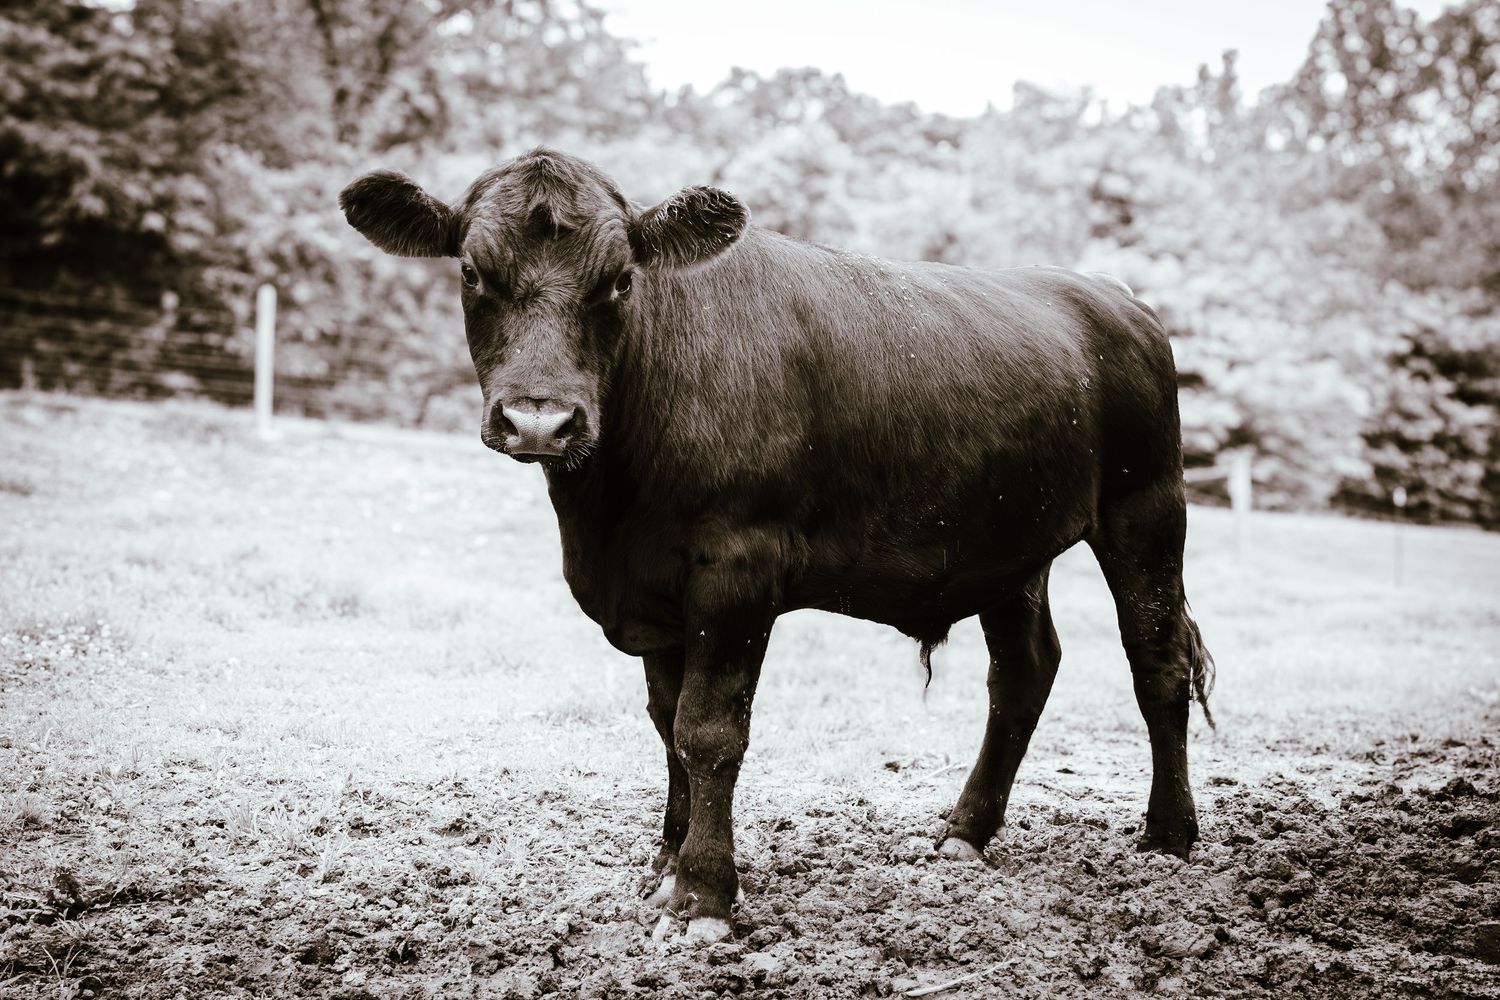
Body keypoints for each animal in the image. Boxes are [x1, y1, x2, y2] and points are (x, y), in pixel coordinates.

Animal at [339, 147, 1215, 944]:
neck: (610, 512)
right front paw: (666, 868)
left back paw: (1168, 838)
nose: (539, 420)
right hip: (1010, 544)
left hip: (1145, 506)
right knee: (1024, 671)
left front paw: (704, 895)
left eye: (619, 280)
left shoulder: (737, 570)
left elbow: (709, 730)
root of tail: (1112, 295)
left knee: (1156, 659)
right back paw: (965, 832)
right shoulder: (657, 594)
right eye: (473, 273)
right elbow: (667, 725)